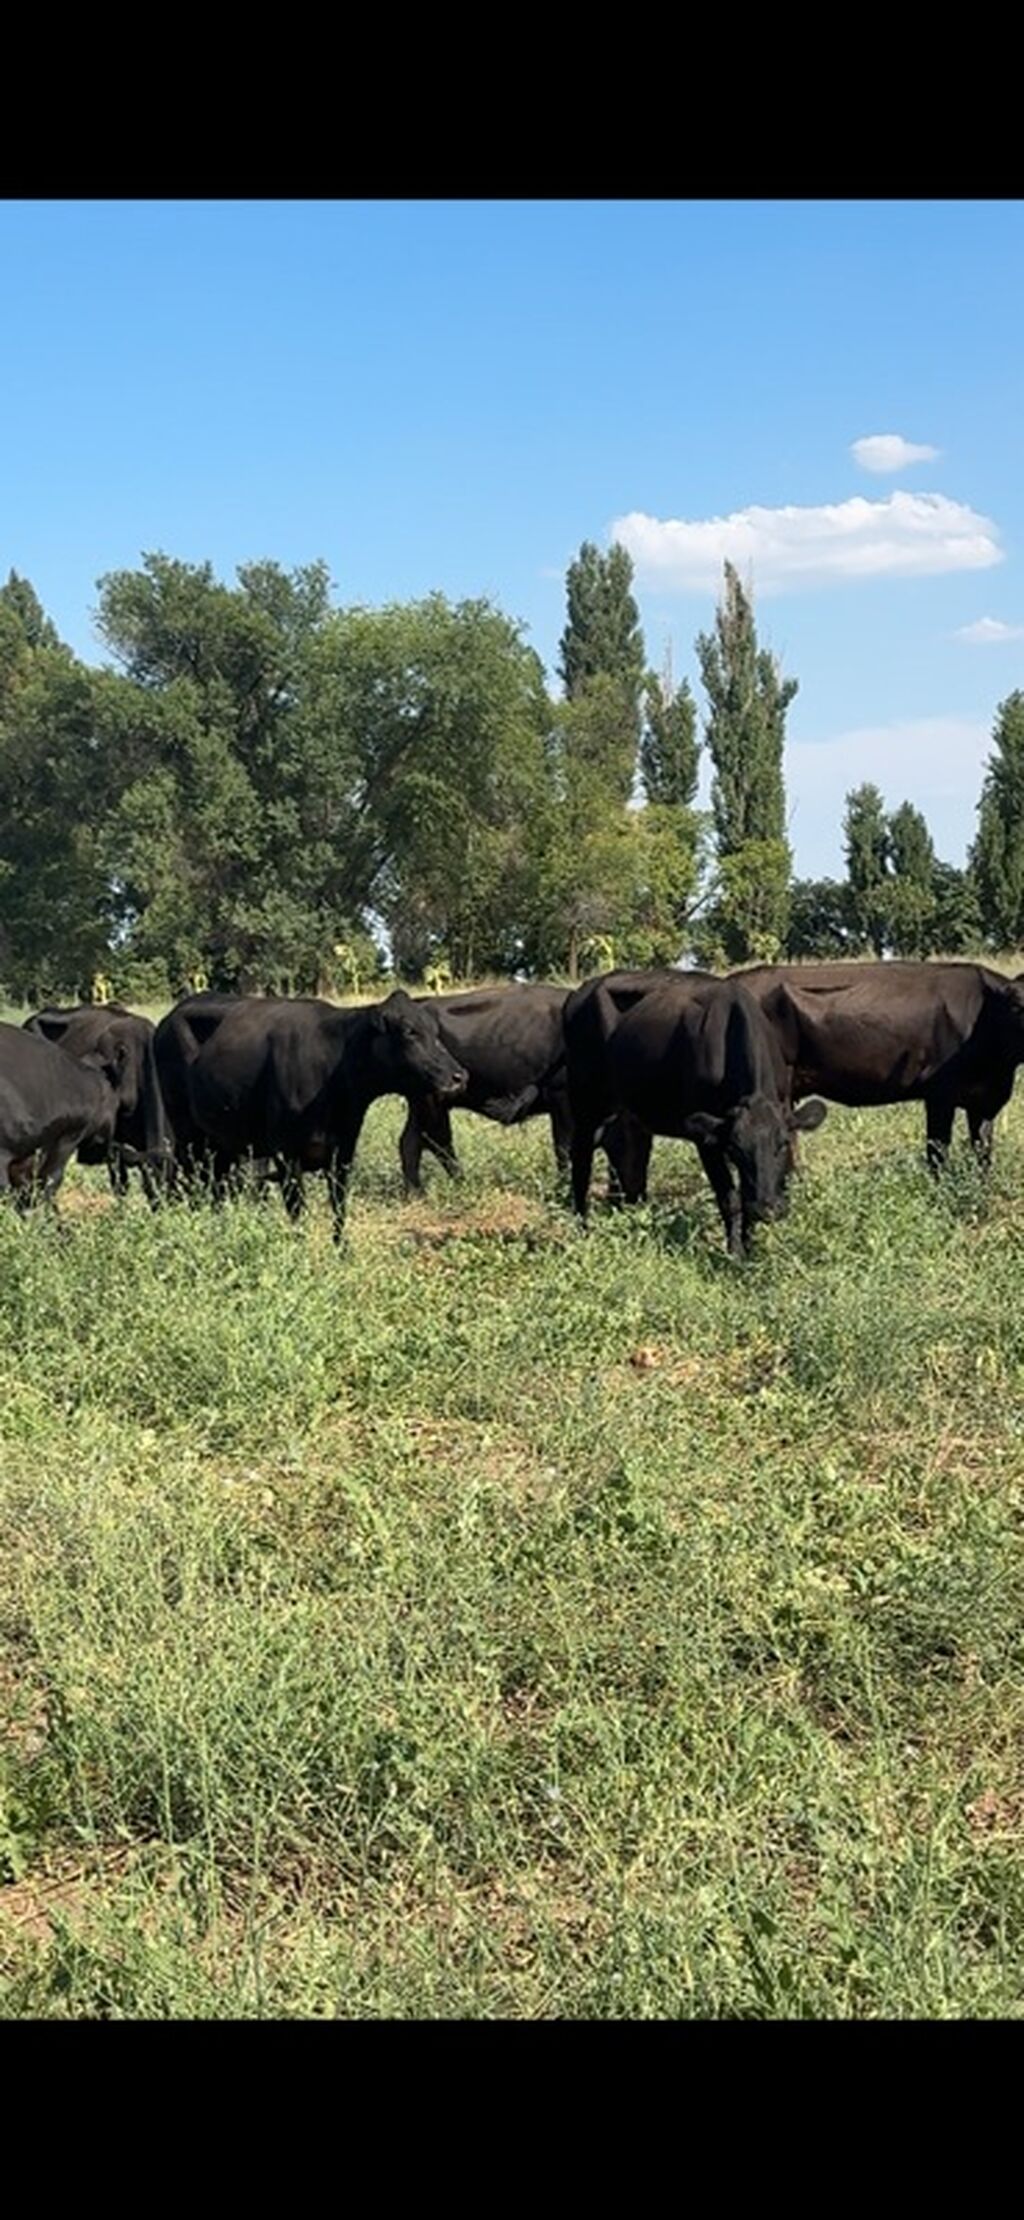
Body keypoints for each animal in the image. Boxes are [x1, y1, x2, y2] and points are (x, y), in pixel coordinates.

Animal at [153, 989, 468, 1237]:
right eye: (409, 1031)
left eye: (435, 1032)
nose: (459, 1076)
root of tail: (169, 1017)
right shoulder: (286, 1155)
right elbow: (298, 1214)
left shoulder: (342, 1152)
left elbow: (339, 1212)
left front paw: (342, 1253)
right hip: (187, 1136)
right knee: (193, 1184)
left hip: (221, 1141)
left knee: (217, 1188)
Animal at [560, 969, 827, 1255]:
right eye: (735, 1149)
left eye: (783, 1144)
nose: (767, 1209)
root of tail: (580, 991)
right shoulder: (707, 1139)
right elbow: (730, 1199)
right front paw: (735, 1253)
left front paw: (750, 1248)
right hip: (585, 1101)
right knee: (581, 1161)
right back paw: (582, 1229)